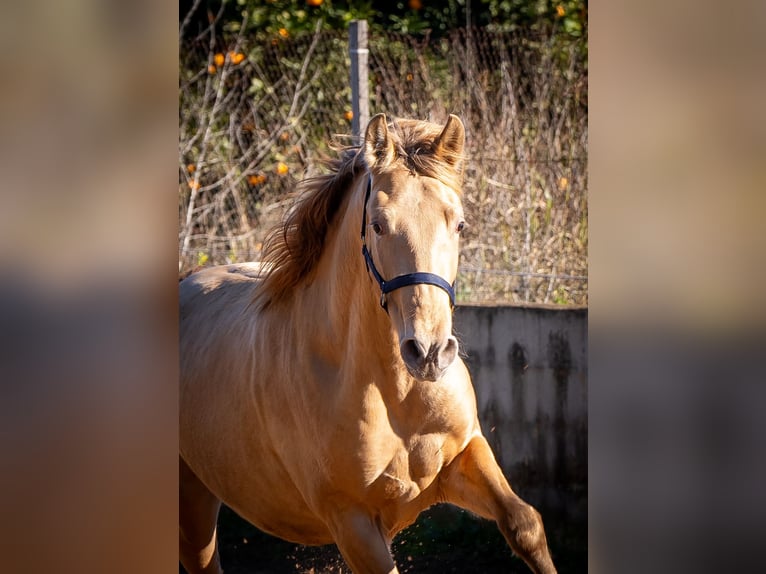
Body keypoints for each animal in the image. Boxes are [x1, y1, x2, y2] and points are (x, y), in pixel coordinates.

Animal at [178, 113, 560, 574]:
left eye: (459, 224)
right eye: (378, 225)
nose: (429, 353)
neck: (395, 392)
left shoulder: (464, 456)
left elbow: (525, 523)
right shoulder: (352, 522)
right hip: (192, 503)